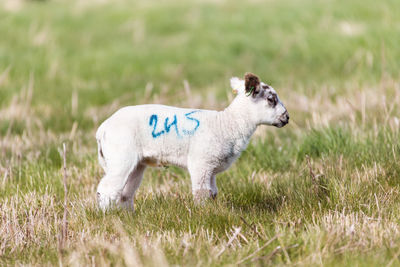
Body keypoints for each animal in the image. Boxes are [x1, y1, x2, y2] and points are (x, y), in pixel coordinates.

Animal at [95, 73, 290, 211]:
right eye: (271, 99)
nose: (287, 118)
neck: (228, 124)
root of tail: (103, 129)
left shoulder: (211, 168)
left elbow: (212, 193)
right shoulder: (201, 163)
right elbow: (201, 193)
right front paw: (204, 215)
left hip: (136, 164)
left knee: (125, 193)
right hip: (121, 156)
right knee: (107, 189)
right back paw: (108, 217)